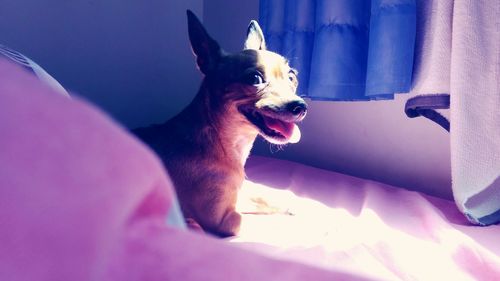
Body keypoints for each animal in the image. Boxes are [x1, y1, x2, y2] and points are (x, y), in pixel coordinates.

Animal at [134, 9, 304, 235]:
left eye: (292, 77)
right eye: (254, 79)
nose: (301, 107)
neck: (225, 143)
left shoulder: (236, 197)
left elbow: (262, 199)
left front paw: (289, 205)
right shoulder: (225, 221)